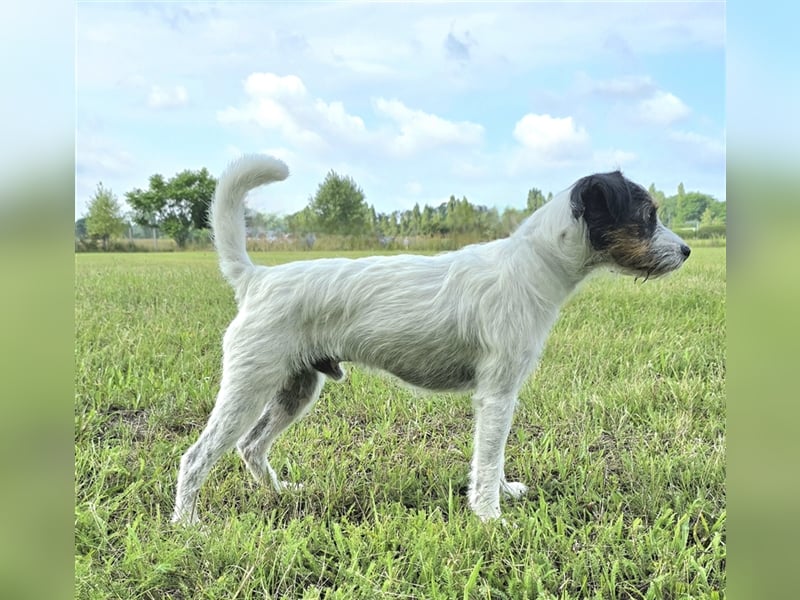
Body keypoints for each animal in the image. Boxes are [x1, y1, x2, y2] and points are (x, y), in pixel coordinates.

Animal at [172, 155, 692, 524]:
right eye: (648, 215)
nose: (687, 250)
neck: (533, 265)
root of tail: (255, 278)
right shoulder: (497, 396)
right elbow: (488, 460)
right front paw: (491, 517)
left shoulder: (500, 398)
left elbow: (493, 460)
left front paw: (502, 497)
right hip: (247, 388)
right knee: (196, 458)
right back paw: (189, 525)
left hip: (295, 389)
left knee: (251, 447)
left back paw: (279, 494)